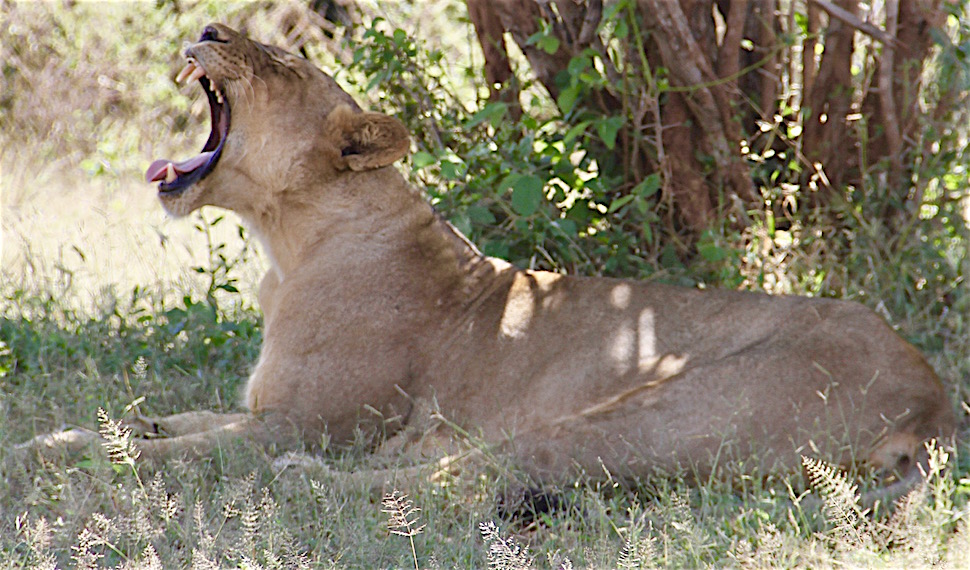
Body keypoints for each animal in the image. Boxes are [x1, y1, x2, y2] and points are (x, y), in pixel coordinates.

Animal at [20, 24, 955, 489]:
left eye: (281, 61)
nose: (209, 26)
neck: (286, 247)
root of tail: (936, 396)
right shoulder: (256, 406)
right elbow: (156, 420)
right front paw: (56, 435)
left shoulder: (306, 423)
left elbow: (174, 452)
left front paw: (55, 456)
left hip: (658, 411)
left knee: (482, 473)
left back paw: (318, 479)